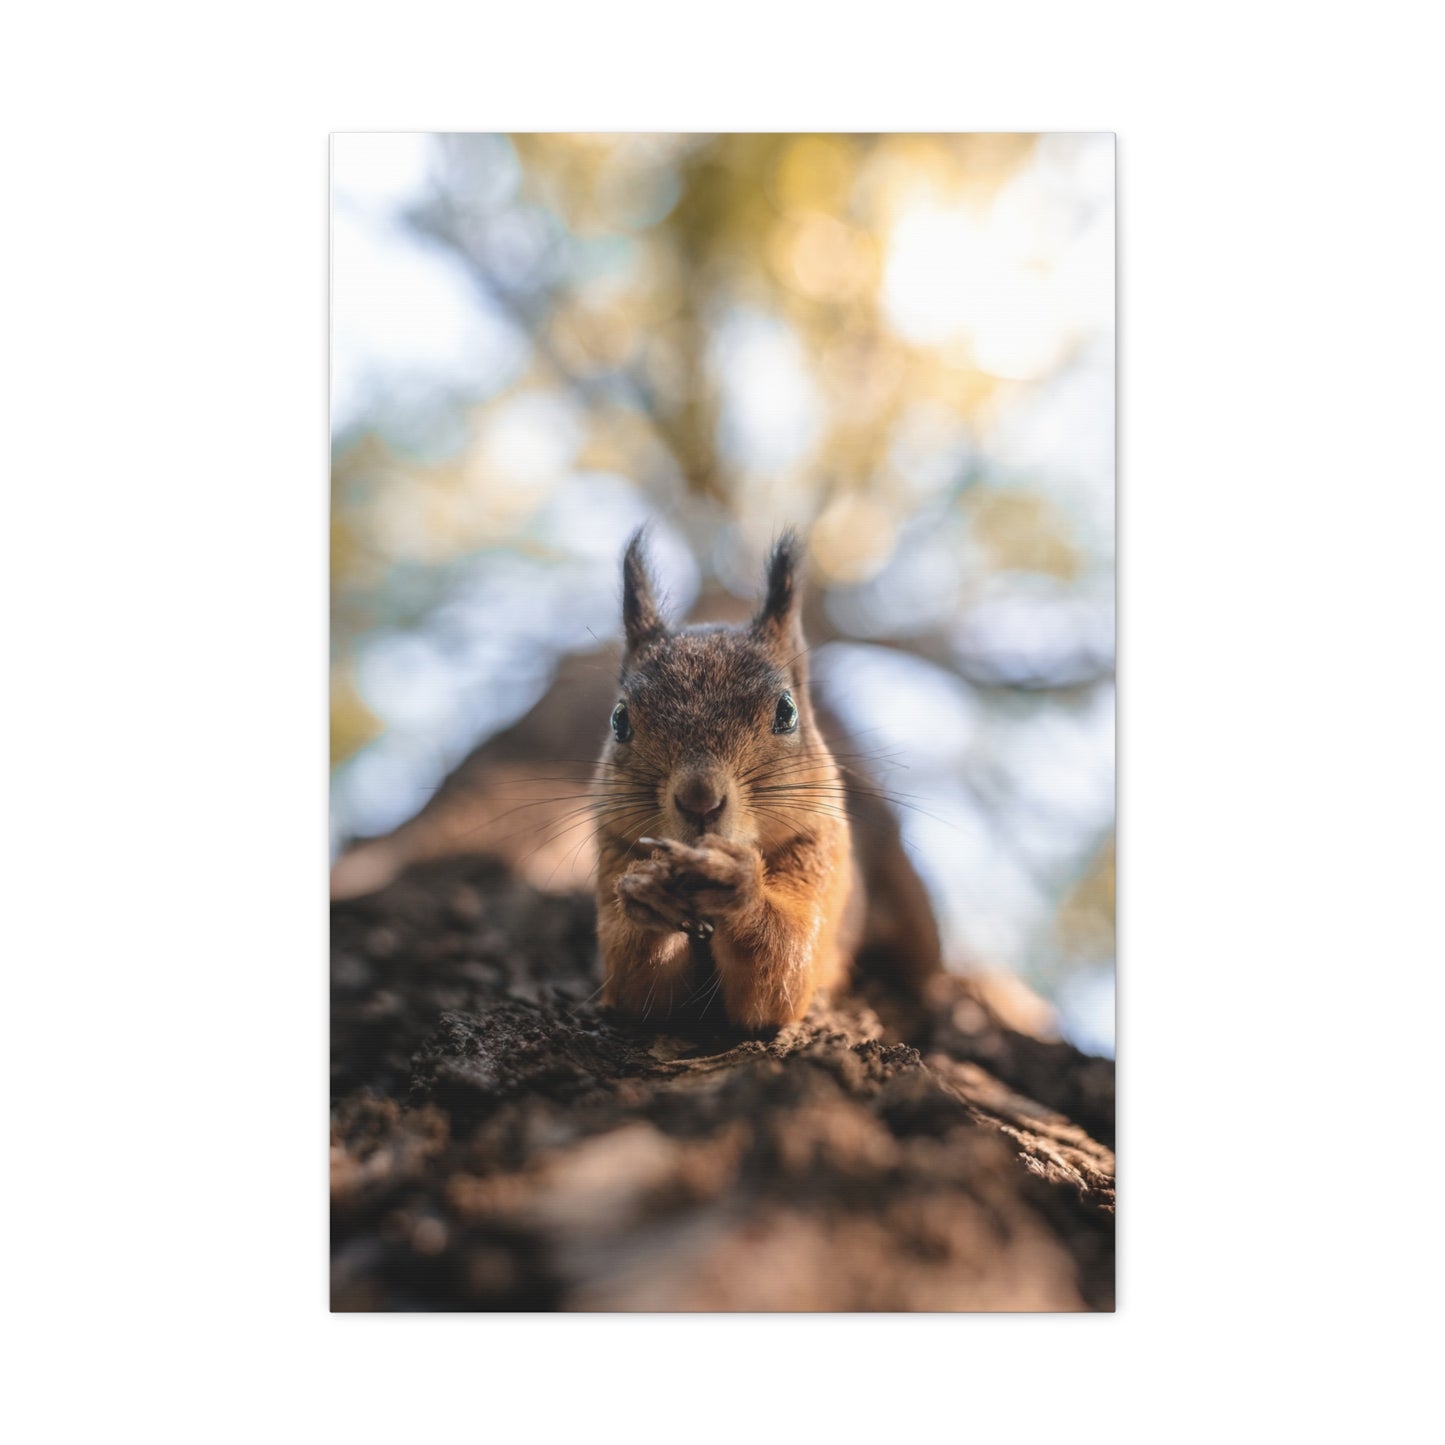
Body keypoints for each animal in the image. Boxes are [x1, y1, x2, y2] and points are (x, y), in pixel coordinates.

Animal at [596, 528, 933, 1032]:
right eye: (619, 721)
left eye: (787, 712)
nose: (699, 799)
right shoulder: (611, 850)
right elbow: (638, 987)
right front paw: (647, 892)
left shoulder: (822, 851)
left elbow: (781, 972)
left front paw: (736, 882)